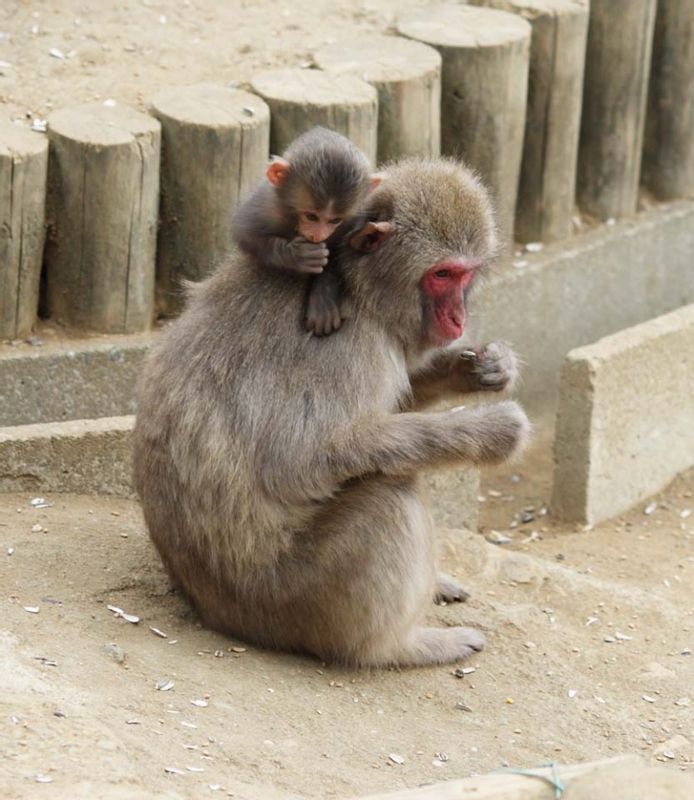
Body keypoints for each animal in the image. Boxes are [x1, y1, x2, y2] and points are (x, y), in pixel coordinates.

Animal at [133, 158, 532, 668]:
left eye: (466, 275)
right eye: (442, 275)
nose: (458, 318)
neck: (358, 289)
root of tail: (208, 608)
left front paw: (485, 367)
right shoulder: (343, 342)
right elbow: (299, 461)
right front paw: (494, 430)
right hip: (290, 600)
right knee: (388, 494)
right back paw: (402, 645)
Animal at [234, 124, 380, 334]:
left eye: (335, 220)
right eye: (311, 216)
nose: (317, 235)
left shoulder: (353, 218)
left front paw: (323, 298)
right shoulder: (268, 205)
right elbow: (245, 232)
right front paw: (296, 256)